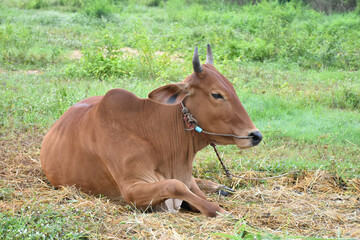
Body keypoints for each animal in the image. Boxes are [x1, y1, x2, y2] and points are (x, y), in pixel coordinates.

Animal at [40, 45, 262, 218]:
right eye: (216, 94)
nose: (255, 135)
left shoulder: (184, 176)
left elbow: (191, 188)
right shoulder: (131, 190)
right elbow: (176, 186)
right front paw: (219, 210)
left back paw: (221, 187)